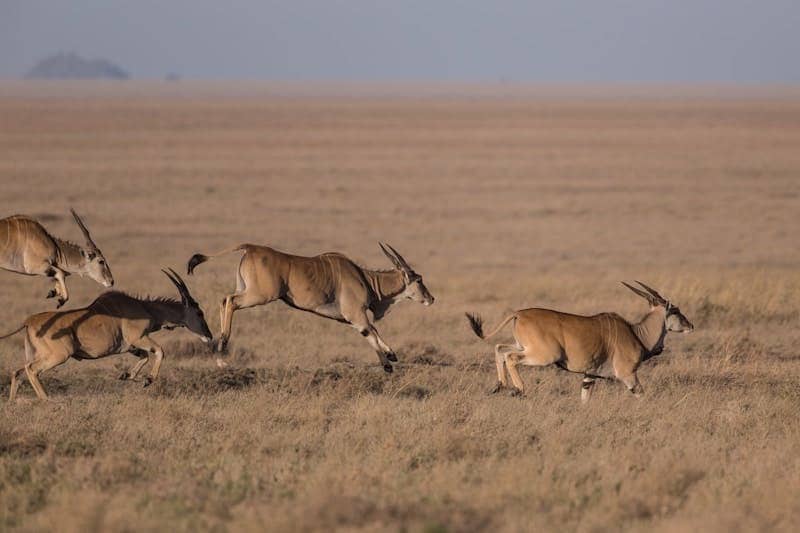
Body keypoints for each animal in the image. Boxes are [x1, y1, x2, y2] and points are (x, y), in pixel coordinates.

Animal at [0, 270, 212, 400]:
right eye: (199, 313)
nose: (209, 336)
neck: (146, 308)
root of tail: (29, 321)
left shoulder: (131, 346)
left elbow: (144, 357)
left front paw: (128, 375)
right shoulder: (138, 339)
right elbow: (159, 351)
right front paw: (148, 379)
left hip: (37, 354)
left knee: (18, 372)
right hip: (59, 355)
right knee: (31, 370)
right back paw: (46, 399)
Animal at [185, 243, 434, 372]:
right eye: (419, 280)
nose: (431, 298)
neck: (365, 277)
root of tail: (250, 248)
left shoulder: (351, 319)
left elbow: (371, 332)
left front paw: (390, 358)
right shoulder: (356, 315)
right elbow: (371, 332)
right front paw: (388, 361)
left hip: (248, 291)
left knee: (224, 300)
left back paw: (218, 348)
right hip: (259, 295)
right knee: (230, 301)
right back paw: (222, 350)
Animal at [466, 280, 692, 402]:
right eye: (675, 310)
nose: (690, 325)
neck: (636, 333)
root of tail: (519, 313)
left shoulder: (589, 375)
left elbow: (585, 399)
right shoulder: (627, 374)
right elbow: (642, 395)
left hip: (525, 347)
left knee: (500, 349)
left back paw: (499, 385)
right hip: (544, 355)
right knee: (511, 357)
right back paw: (518, 389)